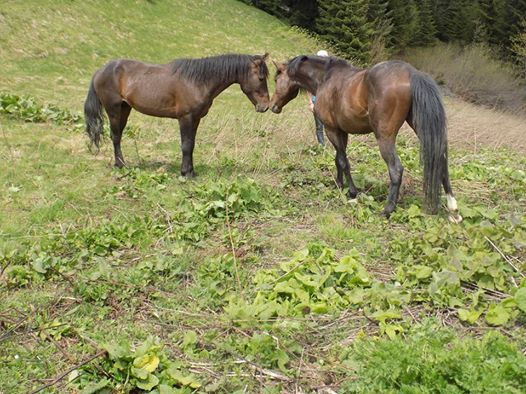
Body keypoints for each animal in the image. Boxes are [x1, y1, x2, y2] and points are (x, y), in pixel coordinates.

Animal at [85, 53, 272, 176]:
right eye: (261, 78)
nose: (265, 106)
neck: (197, 81)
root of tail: (100, 71)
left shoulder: (195, 119)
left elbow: (192, 144)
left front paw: (191, 171)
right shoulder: (185, 118)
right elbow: (186, 145)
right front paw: (185, 173)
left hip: (125, 109)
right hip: (114, 110)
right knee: (115, 136)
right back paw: (120, 164)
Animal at [270, 55, 464, 222]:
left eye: (276, 79)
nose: (272, 106)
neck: (325, 78)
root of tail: (412, 73)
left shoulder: (331, 130)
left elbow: (343, 161)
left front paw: (352, 192)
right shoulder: (341, 132)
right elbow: (338, 159)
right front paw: (339, 185)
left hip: (384, 138)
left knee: (396, 169)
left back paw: (387, 210)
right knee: (440, 160)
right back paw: (453, 209)